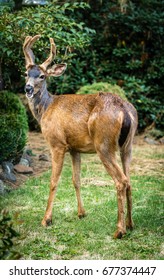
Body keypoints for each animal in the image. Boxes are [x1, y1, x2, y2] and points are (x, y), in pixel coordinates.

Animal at [22, 34, 137, 237]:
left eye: (42, 76)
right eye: (26, 73)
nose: (28, 89)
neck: (45, 110)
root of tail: (124, 109)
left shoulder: (57, 144)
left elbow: (54, 181)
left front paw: (46, 219)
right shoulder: (75, 148)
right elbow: (76, 180)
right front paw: (81, 213)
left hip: (104, 144)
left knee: (121, 181)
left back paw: (119, 230)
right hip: (127, 146)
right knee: (129, 180)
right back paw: (130, 225)